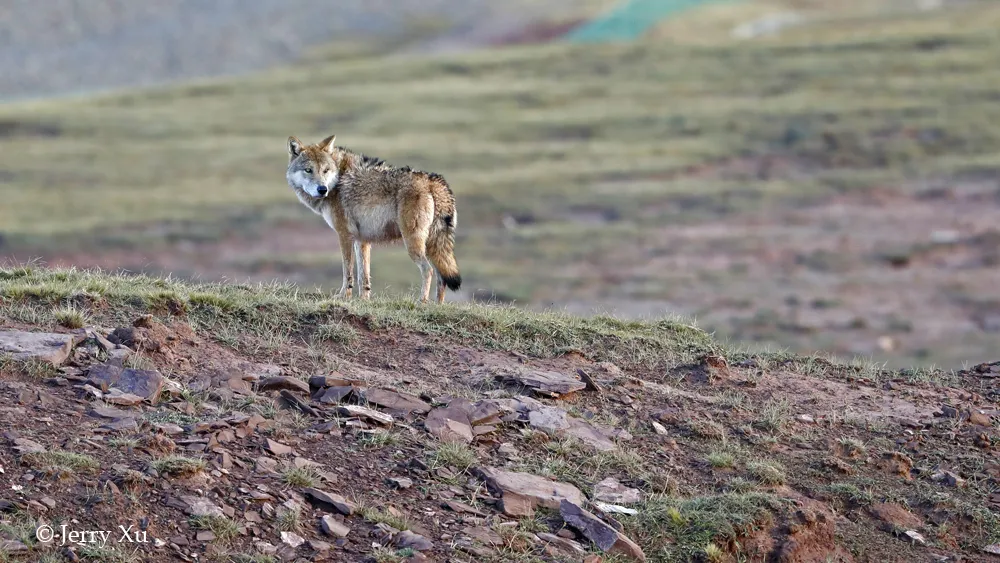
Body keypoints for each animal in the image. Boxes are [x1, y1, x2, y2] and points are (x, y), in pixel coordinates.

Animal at [288, 134, 462, 304]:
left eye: (325, 170)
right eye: (308, 170)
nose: (322, 189)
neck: (337, 180)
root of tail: (434, 181)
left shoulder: (344, 235)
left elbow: (347, 271)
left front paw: (344, 296)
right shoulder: (362, 240)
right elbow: (363, 276)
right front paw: (363, 300)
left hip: (413, 243)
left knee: (429, 270)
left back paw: (422, 302)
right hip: (433, 245)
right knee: (441, 277)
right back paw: (438, 306)